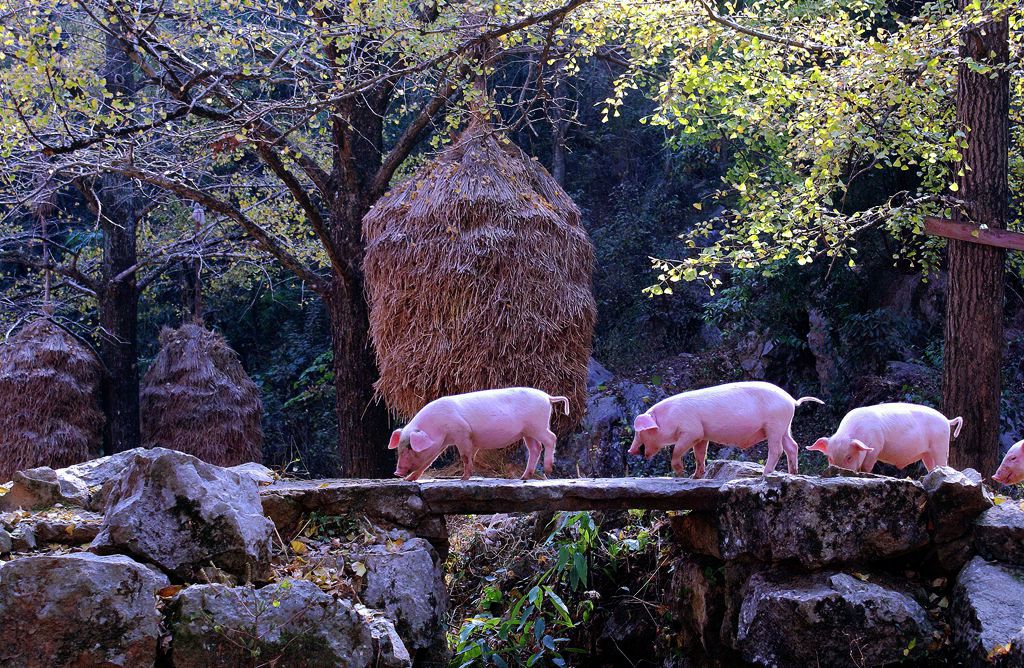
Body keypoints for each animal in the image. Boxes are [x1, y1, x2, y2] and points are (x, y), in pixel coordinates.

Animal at [389, 385, 573, 479]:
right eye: (399, 448)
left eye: (410, 447)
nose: (397, 472)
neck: (438, 427)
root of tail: (547, 397)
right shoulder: (442, 443)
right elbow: (427, 462)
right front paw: (408, 480)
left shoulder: (462, 432)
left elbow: (465, 457)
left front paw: (463, 478)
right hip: (527, 432)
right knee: (535, 448)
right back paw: (524, 477)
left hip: (538, 426)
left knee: (551, 438)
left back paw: (548, 470)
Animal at [622, 381, 823, 479]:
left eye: (639, 431)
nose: (630, 450)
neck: (670, 418)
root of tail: (791, 400)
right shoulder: (702, 435)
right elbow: (700, 455)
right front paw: (695, 477)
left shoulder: (691, 431)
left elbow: (677, 451)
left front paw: (681, 474)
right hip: (784, 427)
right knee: (792, 446)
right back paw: (792, 474)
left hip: (775, 425)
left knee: (777, 449)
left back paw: (765, 475)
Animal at [806, 399, 958, 471]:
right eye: (829, 458)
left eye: (849, 457)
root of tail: (947, 420)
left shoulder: (875, 447)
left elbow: (866, 467)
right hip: (926, 454)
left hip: (940, 445)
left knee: (943, 464)